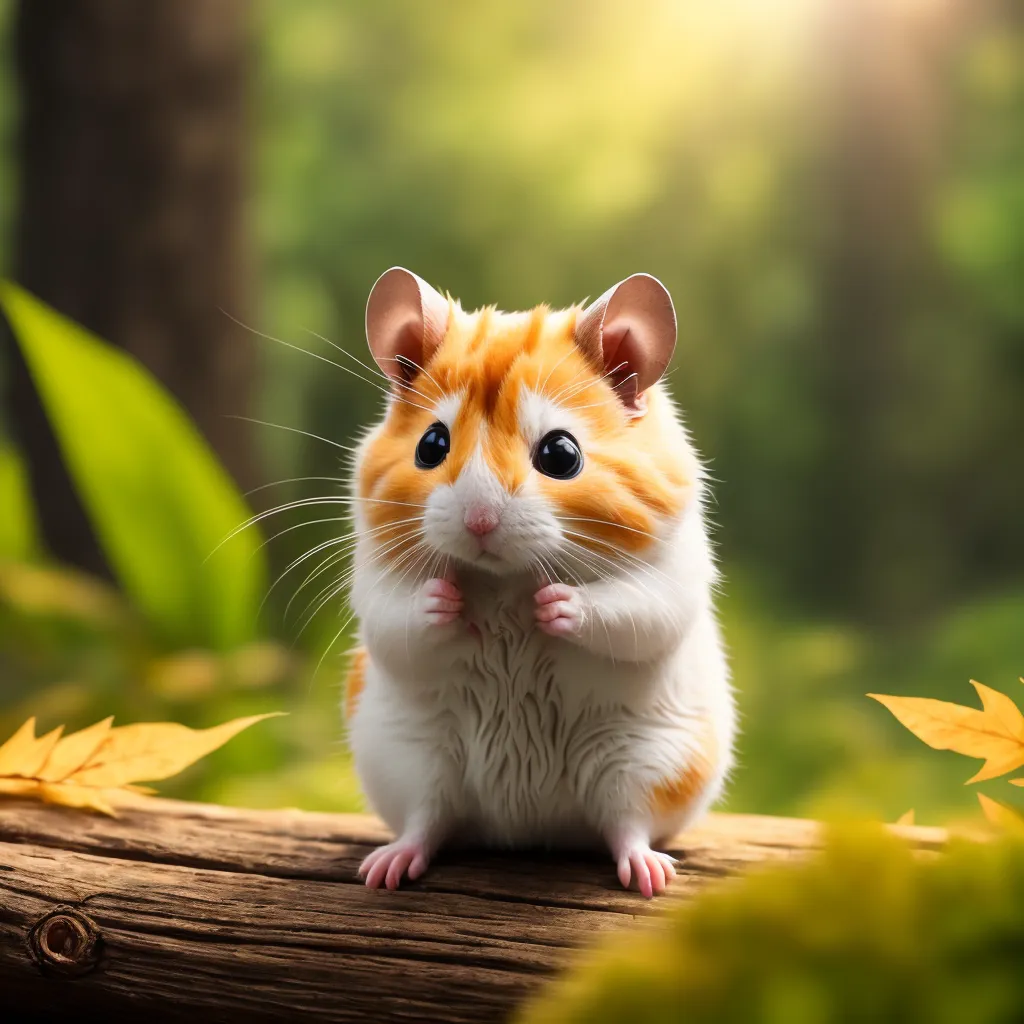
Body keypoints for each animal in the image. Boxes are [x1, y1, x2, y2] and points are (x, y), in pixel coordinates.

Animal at [348, 270, 733, 897]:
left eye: (561, 453)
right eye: (430, 446)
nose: (479, 522)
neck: (504, 577)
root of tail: (525, 828)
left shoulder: (668, 579)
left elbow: (629, 612)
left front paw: (550, 606)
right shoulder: (374, 582)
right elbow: (398, 617)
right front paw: (448, 601)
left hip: (645, 763)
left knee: (626, 825)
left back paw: (649, 876)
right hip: (411, 760)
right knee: (427, 821)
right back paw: (386, 869)